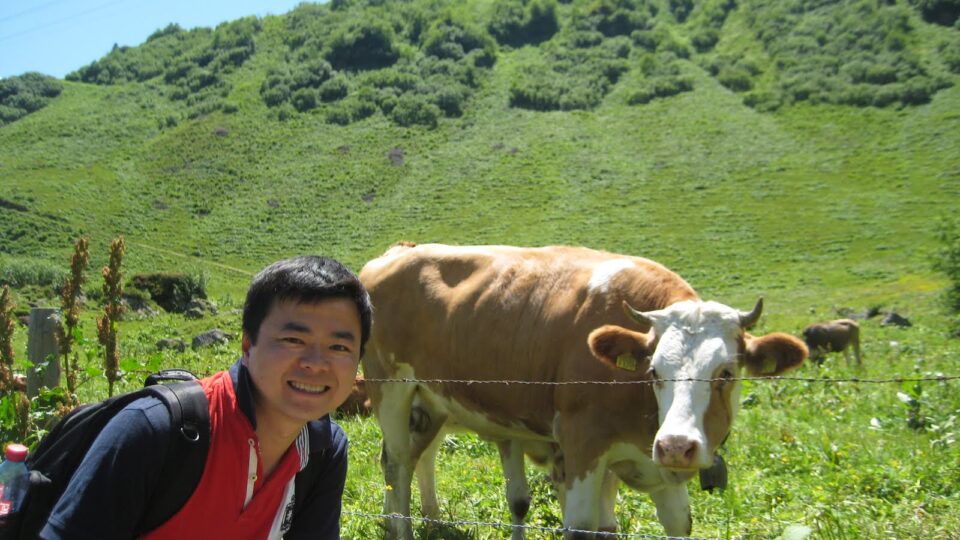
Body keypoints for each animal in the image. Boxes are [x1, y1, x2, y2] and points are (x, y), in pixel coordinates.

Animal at [360, 243, 808, 539]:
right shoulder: (581, 446)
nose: (677, 445)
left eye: (726, 372)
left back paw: (429, 520)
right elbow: (580, 527)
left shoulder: (656, 468)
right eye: (654, 371)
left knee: (418, 457)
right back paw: (400, 527)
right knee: (397, 463)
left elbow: (676, 524)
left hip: (432, 401)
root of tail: (395, 253)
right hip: (392, 388)